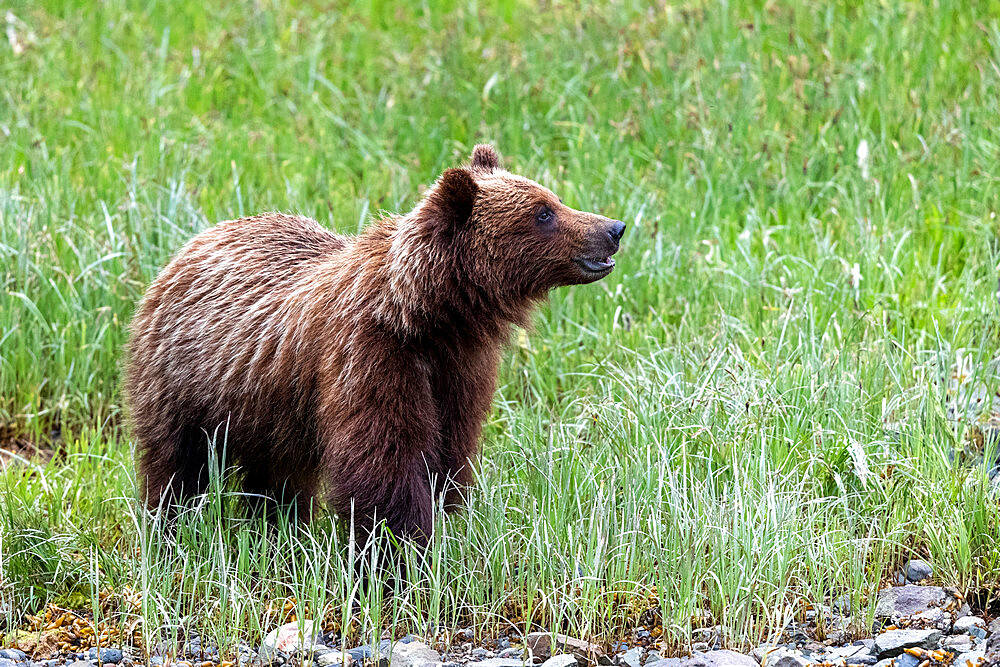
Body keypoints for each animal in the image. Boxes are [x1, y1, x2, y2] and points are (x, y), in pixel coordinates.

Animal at [125, 145, 624, 544]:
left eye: (553, 199)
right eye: (543, 212)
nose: (613, 227)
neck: (428, 316)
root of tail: (192, 243)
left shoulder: (460, 370)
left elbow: (449, 452)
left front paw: (444, 522)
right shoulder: (370, 358)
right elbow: (385, 461)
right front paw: (401, 549)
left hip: (267, 403)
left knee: (277, 476)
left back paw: (280, 531)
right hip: (186, 380)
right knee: (177, 463)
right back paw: (170, 529)